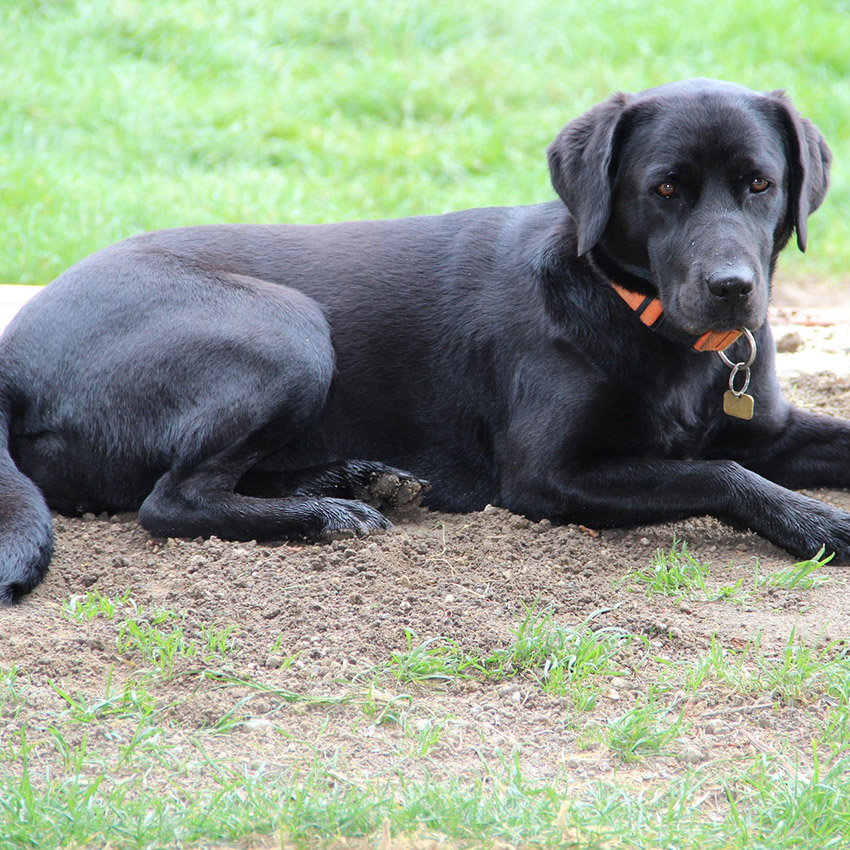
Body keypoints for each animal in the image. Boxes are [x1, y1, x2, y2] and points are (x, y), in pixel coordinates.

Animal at [0, 76, 840, 600]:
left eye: (759, 184)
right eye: (664, 189)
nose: (733, 289)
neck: (633, 310)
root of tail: (16, 352)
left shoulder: (770, 429)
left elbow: (764, 449)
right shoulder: (549, 476)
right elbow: (722, 473)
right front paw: (823, 523)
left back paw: (354, 481)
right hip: (288, 330)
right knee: (170, 500)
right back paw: (327, 514)